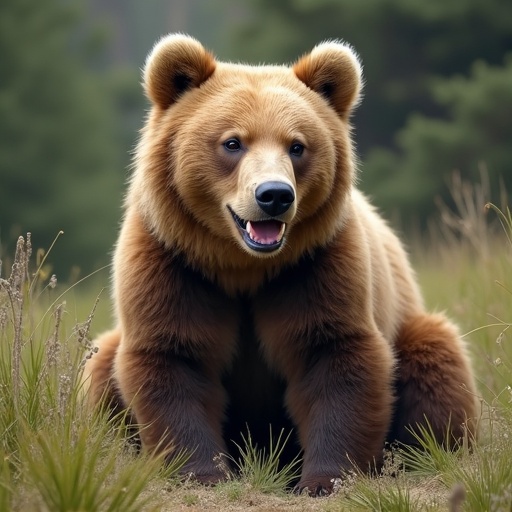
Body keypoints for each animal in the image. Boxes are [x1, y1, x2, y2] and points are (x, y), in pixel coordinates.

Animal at [82, 33, 478, 496]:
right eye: (232, 142)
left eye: (297, 145)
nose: (274, 195)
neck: (243, 266)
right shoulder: (175, 263)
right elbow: (174, 355)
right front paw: (200, 472)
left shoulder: (314, 264)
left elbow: (332, 354)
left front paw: (326, 478)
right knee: (101, 369)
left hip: (409, 323)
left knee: (436, 356)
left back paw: (426, 454)